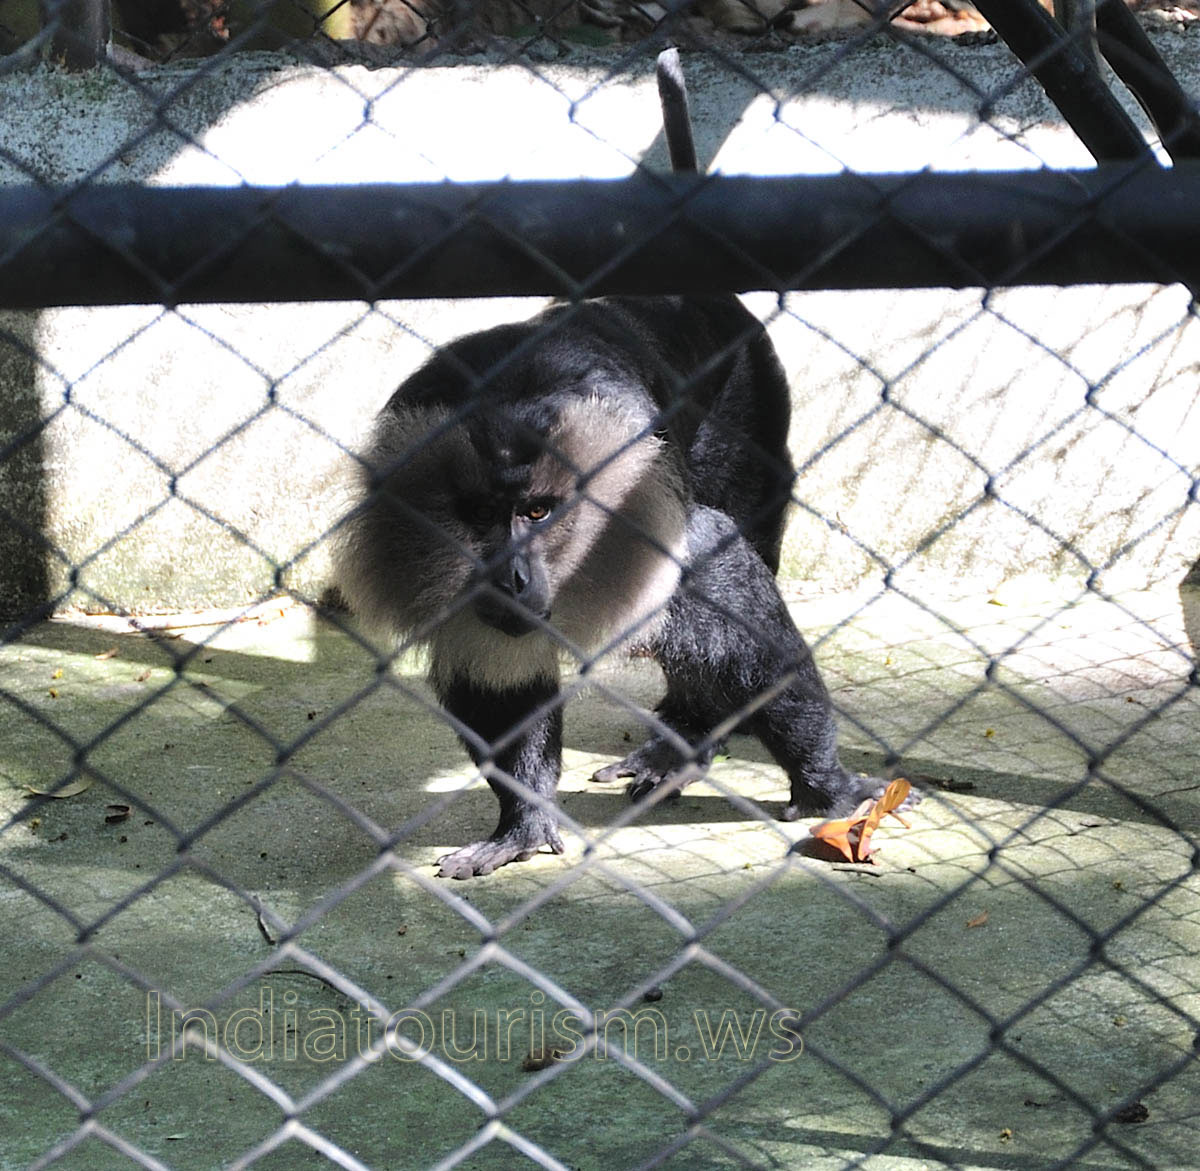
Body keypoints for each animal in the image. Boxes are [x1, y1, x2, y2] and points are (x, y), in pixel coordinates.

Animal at [333, 293, 908, 879]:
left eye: (536, 512)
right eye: (480, 515)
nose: (511, 578)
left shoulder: (647, 511)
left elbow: (733, 596)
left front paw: (829, 790)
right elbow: (501, 680)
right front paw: (523, 822)